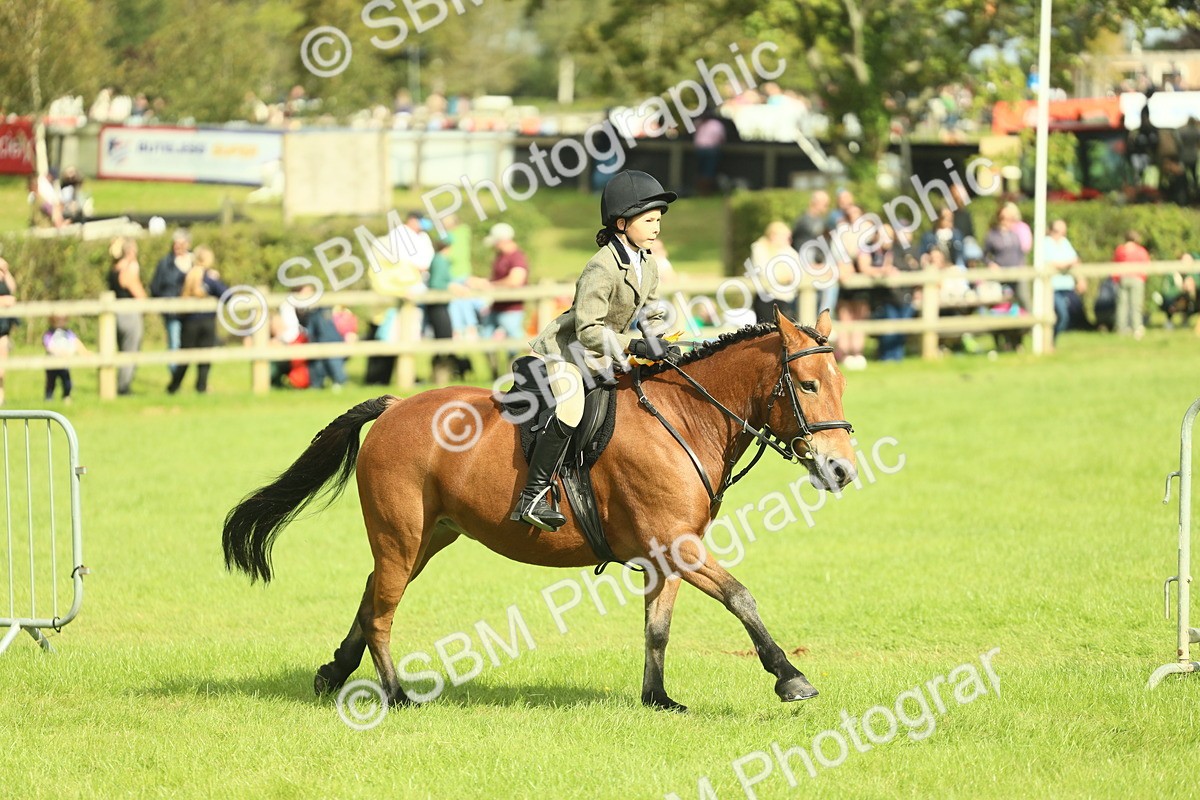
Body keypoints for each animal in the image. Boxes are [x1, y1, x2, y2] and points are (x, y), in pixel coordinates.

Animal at [222, 308, 856, 712]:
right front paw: (790, 677)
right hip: (401, 536)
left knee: (371, 595)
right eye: (806, 385)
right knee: (382, 611)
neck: (684, 416)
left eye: (840, 383)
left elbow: (658, 628)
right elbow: (741, 598)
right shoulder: (680, 545)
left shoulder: (668, 553)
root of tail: (397, 405)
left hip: (427, 537)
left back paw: (333, 673)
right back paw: (396, 695)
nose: (842, 471)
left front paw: (657, 698)